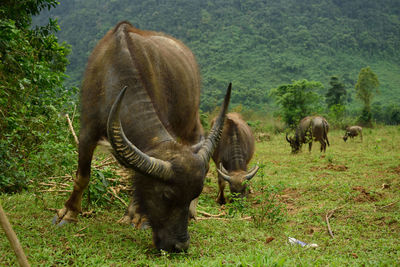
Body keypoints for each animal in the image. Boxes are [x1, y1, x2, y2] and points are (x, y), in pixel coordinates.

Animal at [54, 21, 234, 253]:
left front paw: (137, 216)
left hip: (190, 118)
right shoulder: (87, 130)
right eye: (166, 195)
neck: (114, 73)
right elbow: (82, 176)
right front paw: (68, 213)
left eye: (195, 193)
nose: (180, 245)